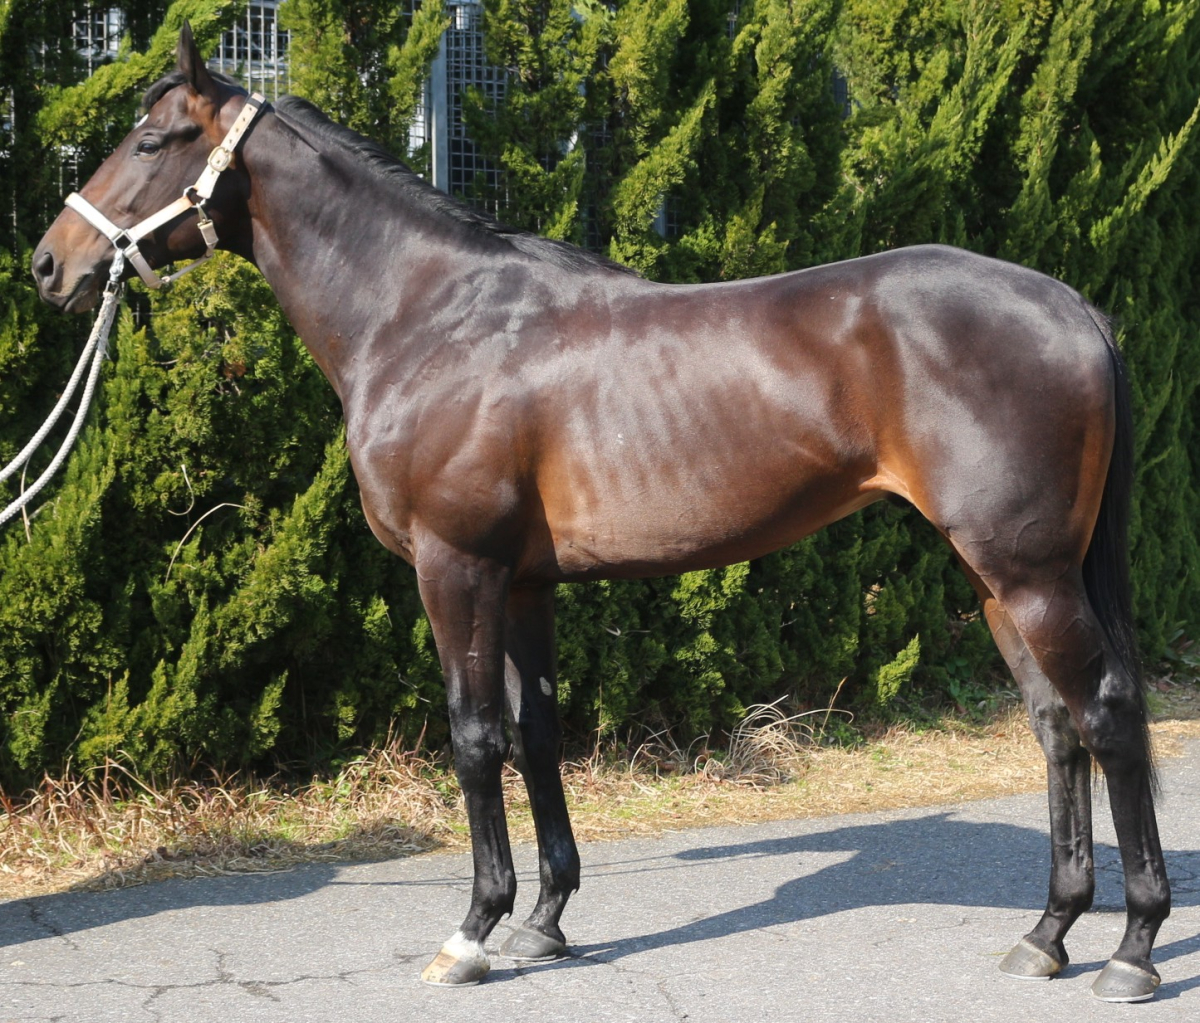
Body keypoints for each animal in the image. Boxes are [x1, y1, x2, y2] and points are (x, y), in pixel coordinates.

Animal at [32, 25, 1169, 1001]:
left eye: (150, 139)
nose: (50, 264)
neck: (429, 317)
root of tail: (1073, 305)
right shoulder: (525, 582)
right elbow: (538, 732)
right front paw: (545, 921)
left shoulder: (455, 567)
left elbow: (475, 736)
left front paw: (472, 933)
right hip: (1000, 580)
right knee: (1057, 725)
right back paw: (1047, 935)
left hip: (1029, 573)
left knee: (1109, 713)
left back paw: (1133, 949)